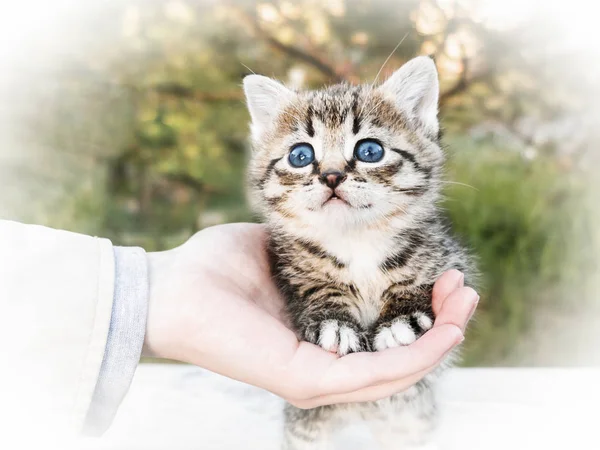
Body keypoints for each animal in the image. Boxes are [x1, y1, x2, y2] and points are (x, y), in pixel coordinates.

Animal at [244, 56, 474, 450]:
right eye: (300, 156)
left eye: (370, 151)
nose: (332, 176)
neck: (357, 240)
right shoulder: (291, 267)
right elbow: (317, 288)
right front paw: (334, 321)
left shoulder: (446, 255)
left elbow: (418, 278)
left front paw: (400, 319)